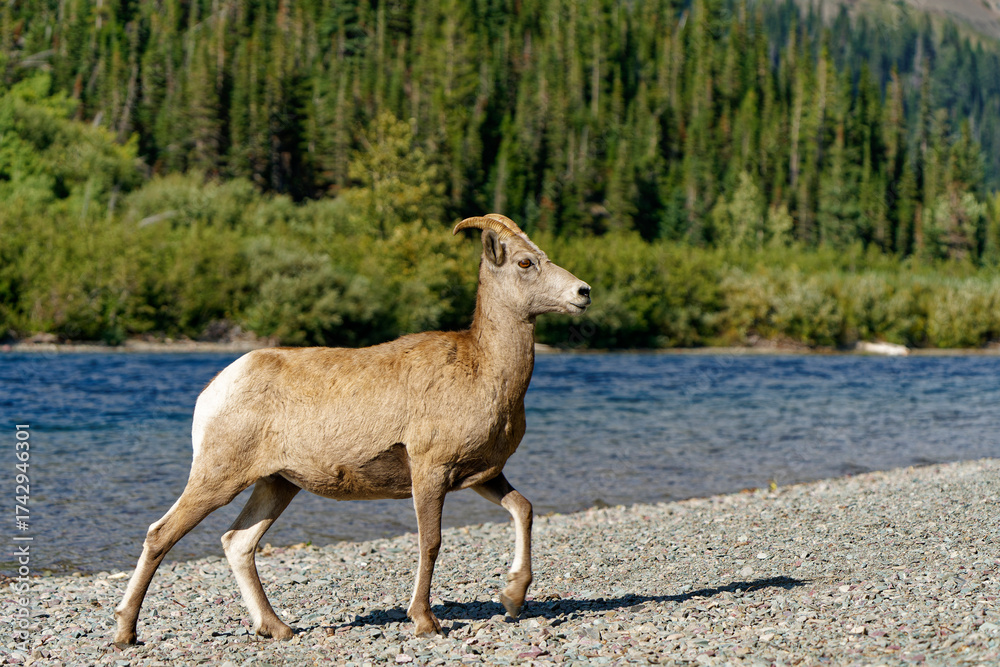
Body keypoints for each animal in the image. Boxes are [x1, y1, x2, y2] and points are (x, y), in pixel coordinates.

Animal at [113, 213, 592, 644]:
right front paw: (425, 622)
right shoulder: (430, 472)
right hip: (219, 477)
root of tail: (215, 388)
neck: (485, 369)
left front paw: (512, 599)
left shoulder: (482, 475)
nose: (583, 292)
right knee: (161, 535)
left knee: (238, 542)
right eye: (526, 262)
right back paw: (125, 633)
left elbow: (523, 508)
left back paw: (277, 629)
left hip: (276, 484)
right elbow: (431, 542)